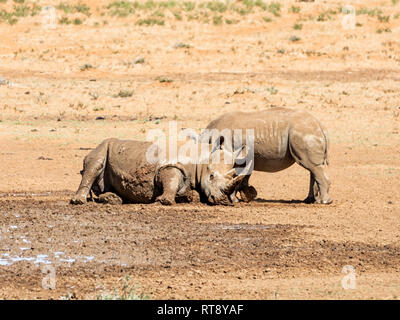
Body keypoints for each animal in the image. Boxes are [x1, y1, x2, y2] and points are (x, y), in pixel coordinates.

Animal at [70, 138, 248, 205]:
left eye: (235, 176)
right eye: (211, 177)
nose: (224, 201)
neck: (203, 158)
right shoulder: (170, 166)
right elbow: (171, 181)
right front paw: (165, 201)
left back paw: (112, 199)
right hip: (101, 148)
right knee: (94, 164)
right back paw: (79, 201)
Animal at [203, 106, 332, 204]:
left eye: (212, 176)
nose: (217, 199)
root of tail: (320, 125)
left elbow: (237, 176)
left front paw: (235, 199)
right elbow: (243, 176)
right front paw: (246, 195)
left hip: (304, 133)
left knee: (313, 166)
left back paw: (324, 202)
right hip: (307, 133)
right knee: (313, 168)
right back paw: (310, 200)